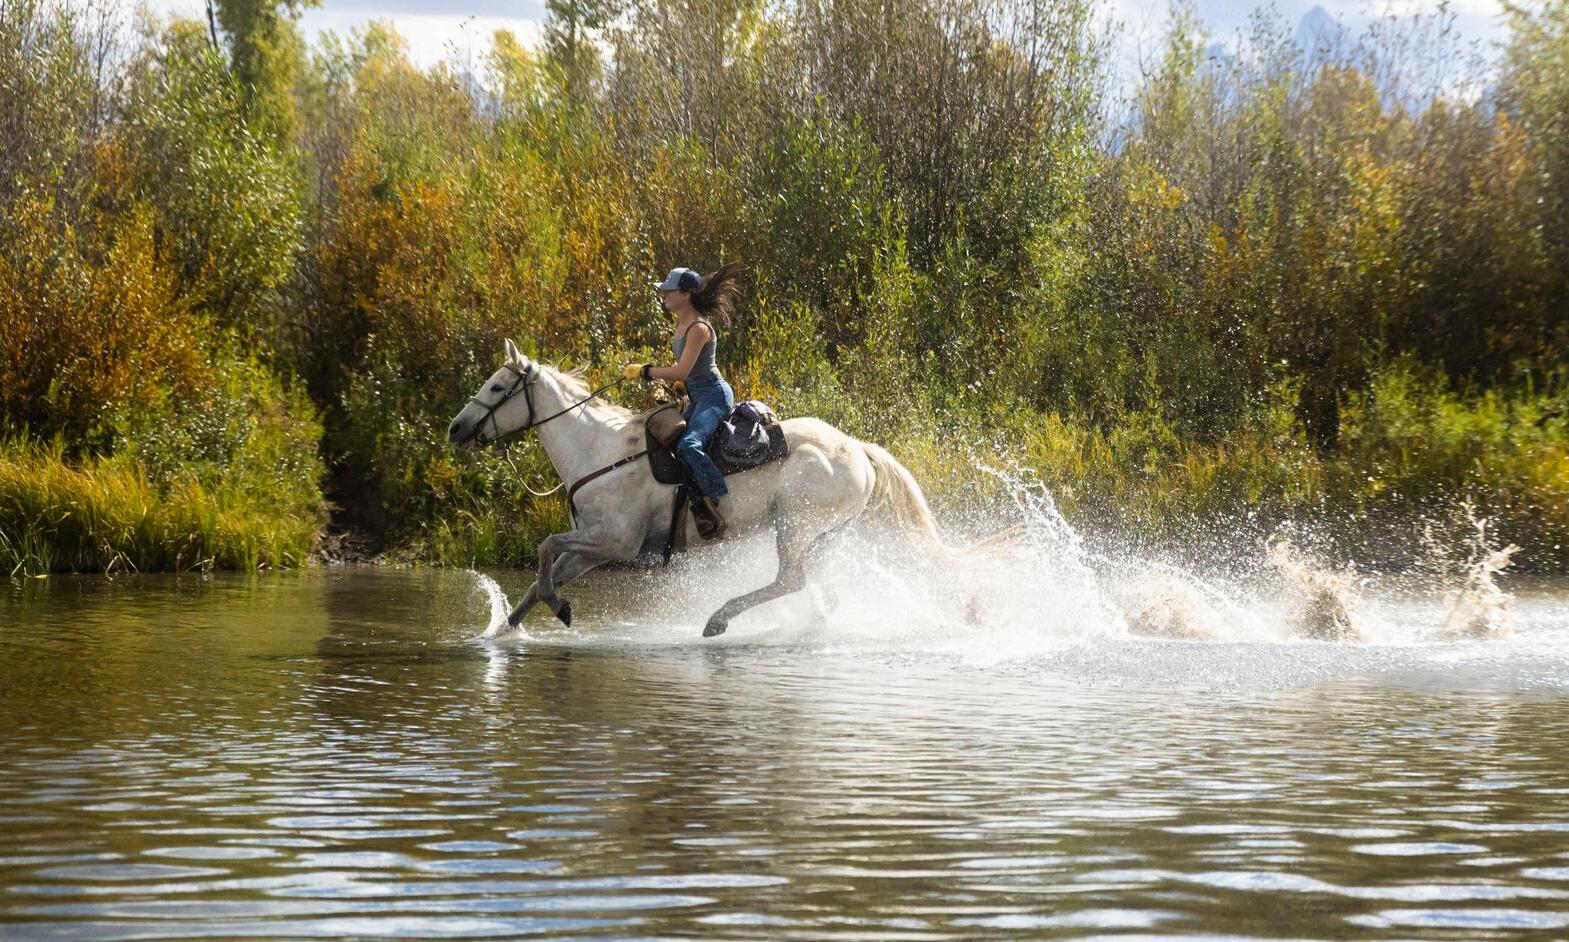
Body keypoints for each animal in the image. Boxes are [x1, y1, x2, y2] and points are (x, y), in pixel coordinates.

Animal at [447, 339, 955, 638]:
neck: (597, 449)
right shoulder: (593, 546)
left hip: (794, 522)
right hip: (826, 535)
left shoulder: (615, 542)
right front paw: (501, 634)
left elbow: (544, 547)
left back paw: (718, 620)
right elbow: (541, 578)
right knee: (817, 591)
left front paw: (559, 608)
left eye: (497, 388)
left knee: (790, 580)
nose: (456, 429)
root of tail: (857, 449)